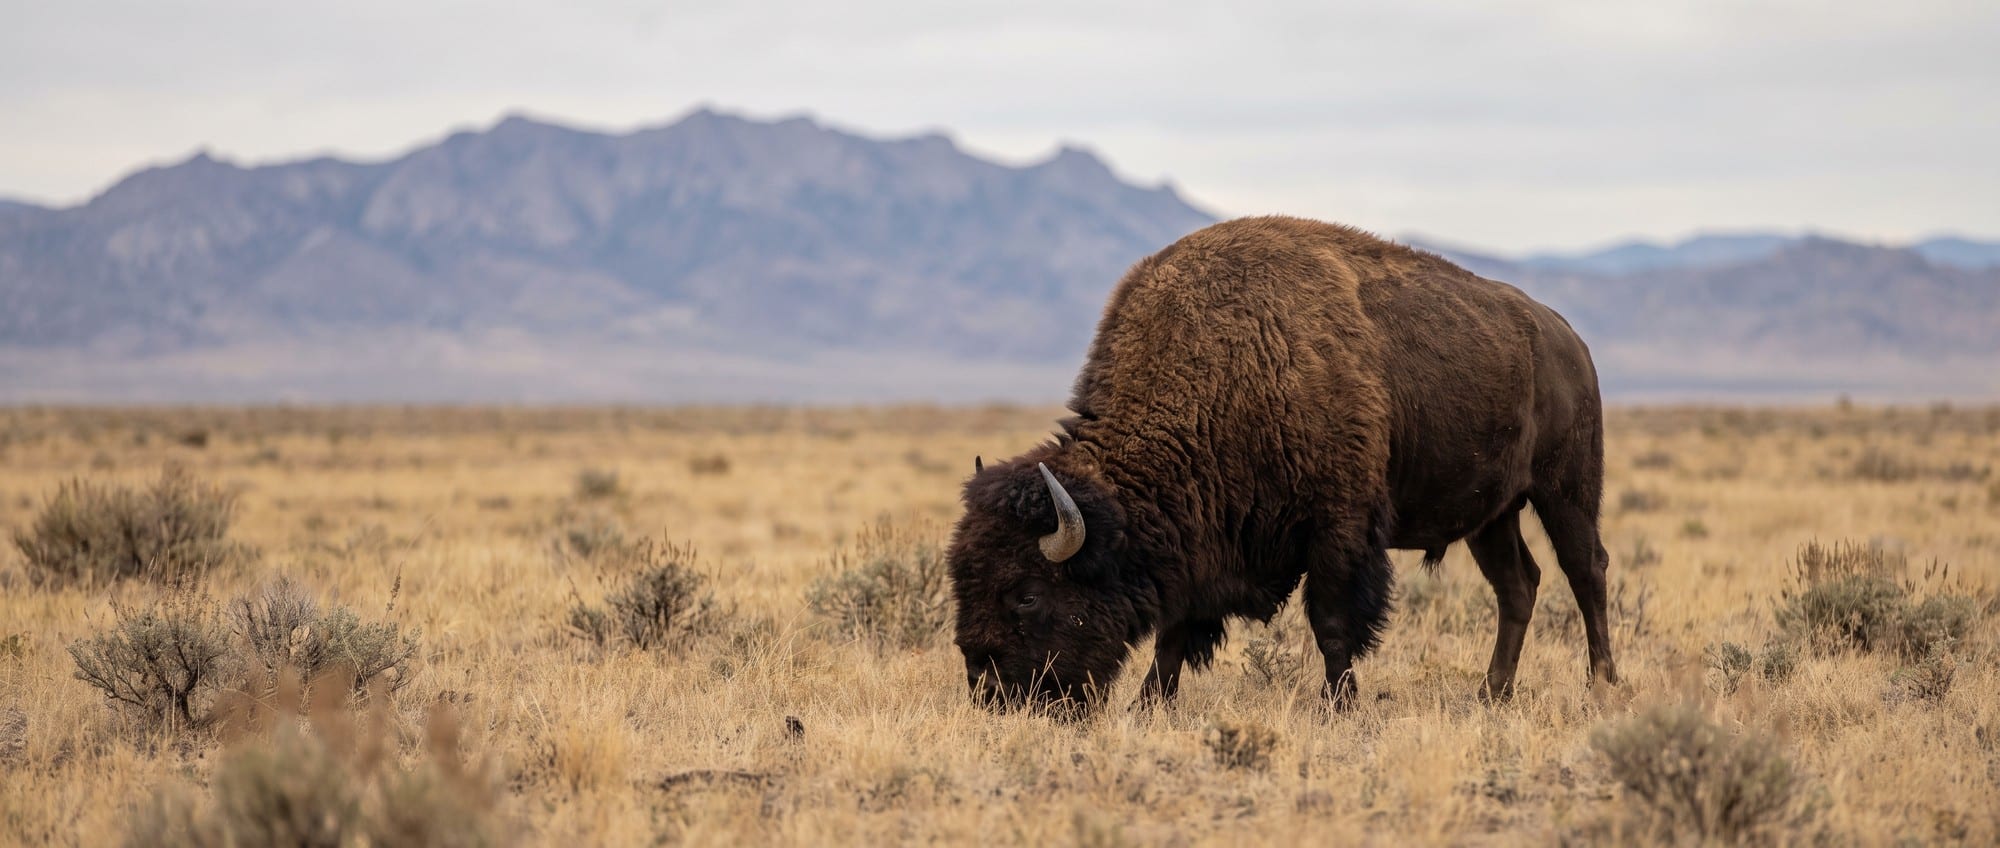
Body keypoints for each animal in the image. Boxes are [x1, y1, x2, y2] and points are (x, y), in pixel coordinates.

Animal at [949, 215, 1618, 712]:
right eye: (963, 580)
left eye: (1027, 595)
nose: (992, 694)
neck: (1222, 372)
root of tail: (1568, 339)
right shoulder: (1202, 544)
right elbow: (1175, 631)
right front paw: (1150, 704)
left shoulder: (1339, 531)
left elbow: (1333, 624)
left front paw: (1339, 706)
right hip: (1492, 516)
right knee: (1518, 585)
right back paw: (1491, 694)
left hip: (1565, 491)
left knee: (1586, 571)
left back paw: (1602, 685)